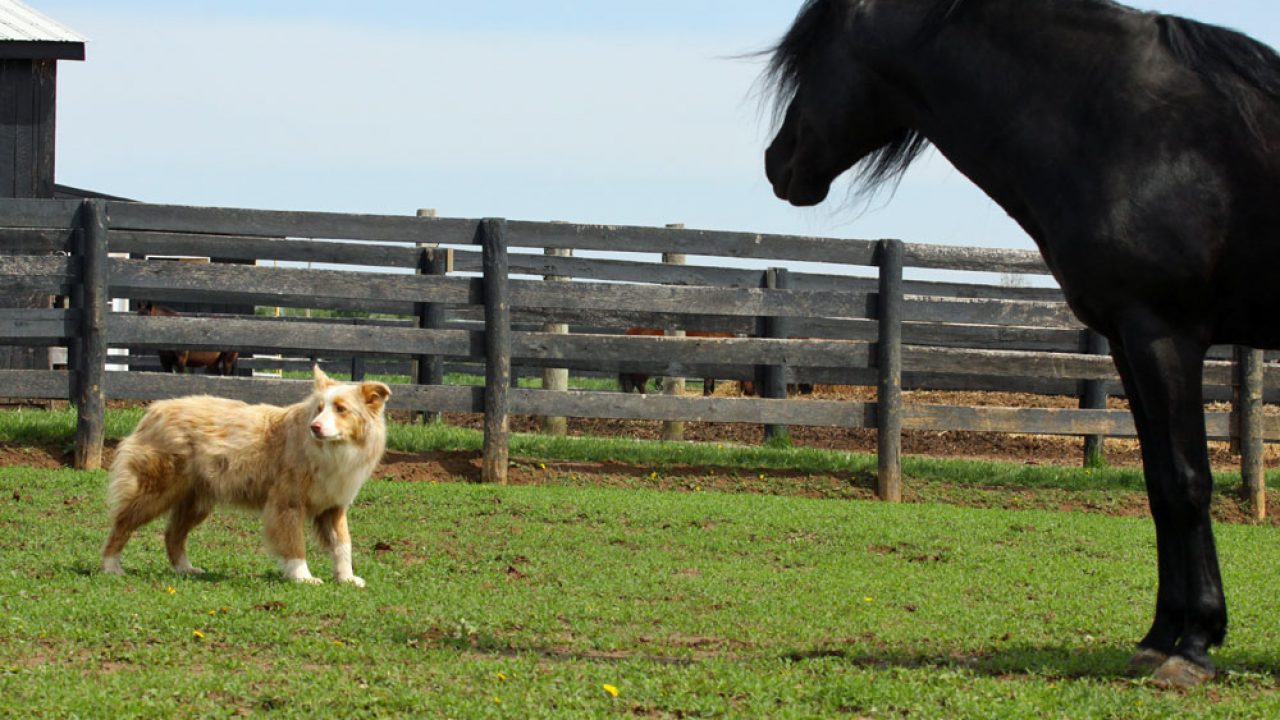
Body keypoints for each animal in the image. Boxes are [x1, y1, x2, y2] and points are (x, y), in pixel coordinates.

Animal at [762, 0, 1280, 688]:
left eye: (810, 55)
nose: (778, 159)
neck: (1126, 123)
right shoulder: (1127, 339)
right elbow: (1157, 485)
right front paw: (1159, 637)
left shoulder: (1166, 333)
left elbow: (1186, 481)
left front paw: (1193, 644)